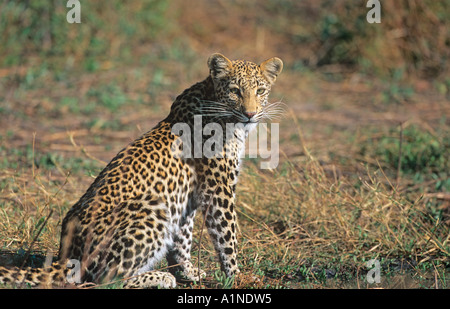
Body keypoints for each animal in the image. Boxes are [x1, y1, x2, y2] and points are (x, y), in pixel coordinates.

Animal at [0, 52, 282, 286]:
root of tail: (66, 255)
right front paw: (238, 276)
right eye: (235, 90)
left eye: (260, 90)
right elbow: (227, 235)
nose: (250, 113)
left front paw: (188, 272)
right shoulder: (218, 189)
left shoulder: (187, 197)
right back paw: (160, 278)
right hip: (150, 208)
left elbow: (182, 240)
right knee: (105, 280)